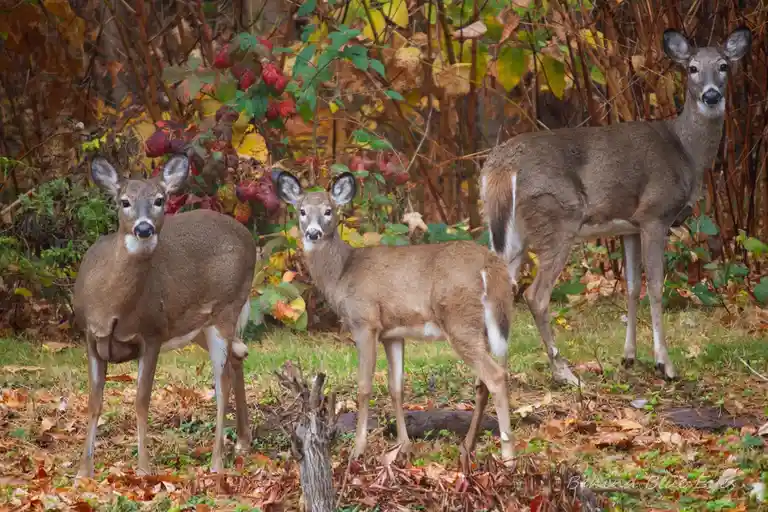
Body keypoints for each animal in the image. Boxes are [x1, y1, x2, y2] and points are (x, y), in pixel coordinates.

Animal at [72, 154, 257, 477]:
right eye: (124, 201)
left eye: (160, 200)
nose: (144, 228)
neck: (111, 307)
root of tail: (249, 237)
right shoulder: (90, 336)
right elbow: (94, 403)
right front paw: (83, 472)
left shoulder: (153, 333)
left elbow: (141, 401)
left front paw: (144, 469)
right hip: (198, 326)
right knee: (238, 357)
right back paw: (242, 443)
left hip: (226, 309)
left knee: (221, 383)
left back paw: (216, 463)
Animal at [274, 170, 516, 472]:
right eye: (302, 211)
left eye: (329, 211)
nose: (313, 232)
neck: (342, 274)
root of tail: (490, 265)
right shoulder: (393, 333)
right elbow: (396, 388)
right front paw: (404, 447)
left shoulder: (365, 321)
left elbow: (364, 386)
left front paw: (358, 450)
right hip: (488, 325)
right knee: (484, 381)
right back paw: (467, 447)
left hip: (459, 320)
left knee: (495, 376)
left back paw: (508, 457)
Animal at [480, 26, 752, 386]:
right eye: (692, 68)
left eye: (723, 66)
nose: (710, 95)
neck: (686, 153)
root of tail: (499, 168)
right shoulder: (654, 214)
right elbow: (655, 287)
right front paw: (665, 364)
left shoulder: (629, 226)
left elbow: (633, 287)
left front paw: (629, 357)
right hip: (557, 218)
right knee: (534, 296)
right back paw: (564, 372)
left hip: (511, 233)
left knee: (497, 291)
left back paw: (496, 373)